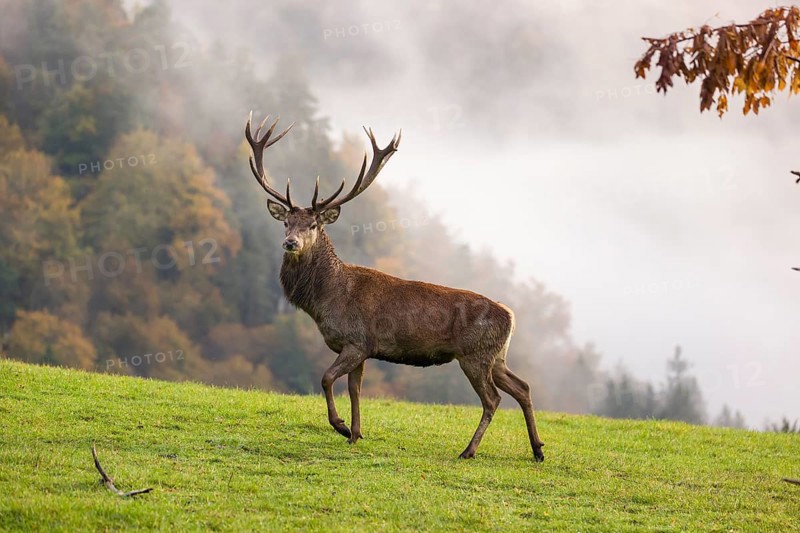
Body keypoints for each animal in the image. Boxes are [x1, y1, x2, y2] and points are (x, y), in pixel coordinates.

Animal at [244, 112, 545, 461]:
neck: (326, 300)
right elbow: (355, 388)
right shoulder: (361, 348)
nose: (290, 242)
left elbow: (326, 378)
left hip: (475, 354)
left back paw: (468, 451)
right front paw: (355, 434)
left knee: (493, 399)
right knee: (523, 387)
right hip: (496, 357)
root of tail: (510, 316)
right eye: (286, 222)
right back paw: (537, 449)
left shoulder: (356, 340)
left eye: (314, 225)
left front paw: (341, 426)